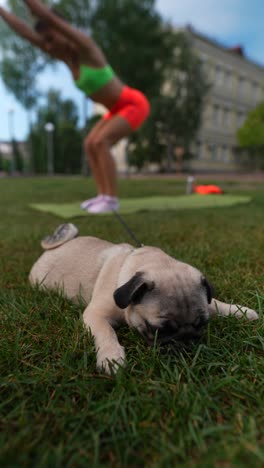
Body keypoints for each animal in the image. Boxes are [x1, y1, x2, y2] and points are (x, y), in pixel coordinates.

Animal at [28, 225, 258, 374]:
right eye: (160, 329)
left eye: (201, 325)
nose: (186, 340)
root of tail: (59, 245)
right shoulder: (95, 315)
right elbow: (106, 332)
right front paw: (112, 358)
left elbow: (215, 303)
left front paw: (241, 311)